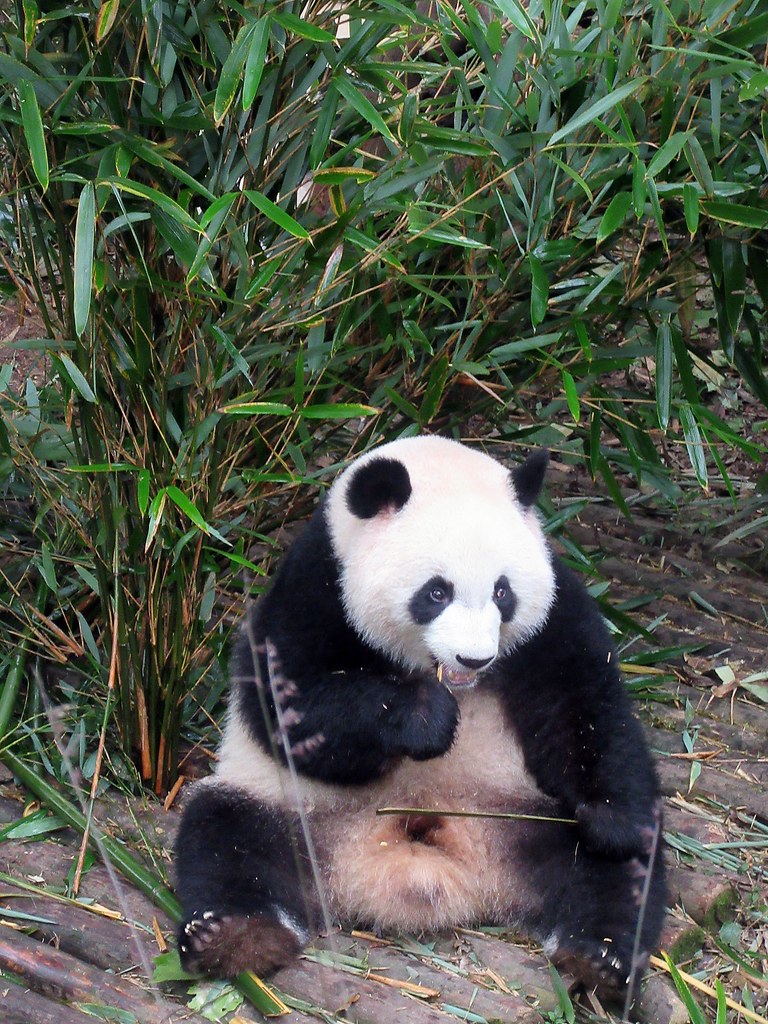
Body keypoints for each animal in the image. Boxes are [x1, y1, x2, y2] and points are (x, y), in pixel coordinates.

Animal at [175, 436, 666, 1001]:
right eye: (436, 592)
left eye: (503, 591)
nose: (475, 659)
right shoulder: (316, 585)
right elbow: (290, 708)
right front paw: (425, 718)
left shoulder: (553, 614)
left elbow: (585, 702)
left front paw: (610, 819)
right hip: (291, 808)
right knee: (226, 837)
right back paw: (234, 937)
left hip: (526, 815)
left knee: (616, 876)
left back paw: (599, 957)